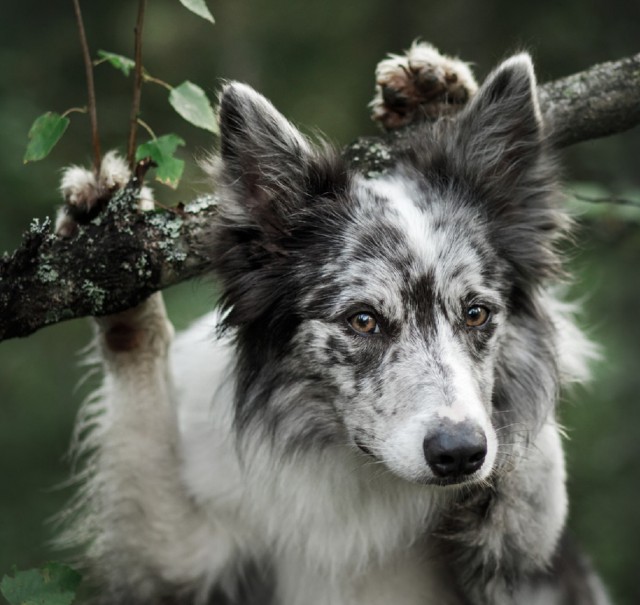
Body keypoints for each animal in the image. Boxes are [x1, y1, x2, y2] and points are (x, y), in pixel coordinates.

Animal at [55, 43, 608, 604]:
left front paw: (437, 87)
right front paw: (106, 237)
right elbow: (135, 359)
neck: (359, 474)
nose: (459, 454)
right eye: (363, 321)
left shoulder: (537, 575)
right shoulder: (181, 561)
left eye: (476, 314)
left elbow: (536, 488)